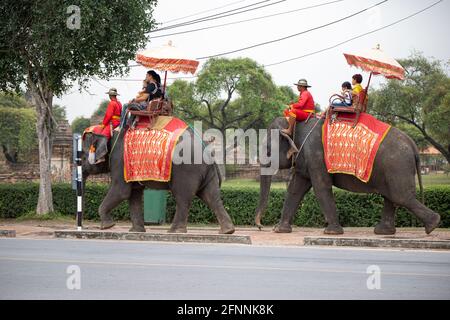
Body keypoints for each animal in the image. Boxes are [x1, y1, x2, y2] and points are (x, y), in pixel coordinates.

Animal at [81, 125, 236, 235]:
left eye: (81, 156)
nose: (82, 227)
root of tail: (207, 151)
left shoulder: (120, 161)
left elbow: (121, 191)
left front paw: (107, 226)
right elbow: (134, 194)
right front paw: (136, 231)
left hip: (186, 171)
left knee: (183, 198)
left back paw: (174, 231)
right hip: (206, 174)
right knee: (211, 197)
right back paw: (227, 231)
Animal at [255, 117, 442, 235]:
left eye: (268, 150)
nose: (261, 226)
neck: (294, 124)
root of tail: (413, 144)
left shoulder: (315, 156)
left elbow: (321, 187)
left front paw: (331, 232)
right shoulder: (304, 158)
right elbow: (295, 190)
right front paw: (280, 230)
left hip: (397, 166)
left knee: (400, 196)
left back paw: (433, 225)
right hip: (393, 168)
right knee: (391, 197)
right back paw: (383, 231)